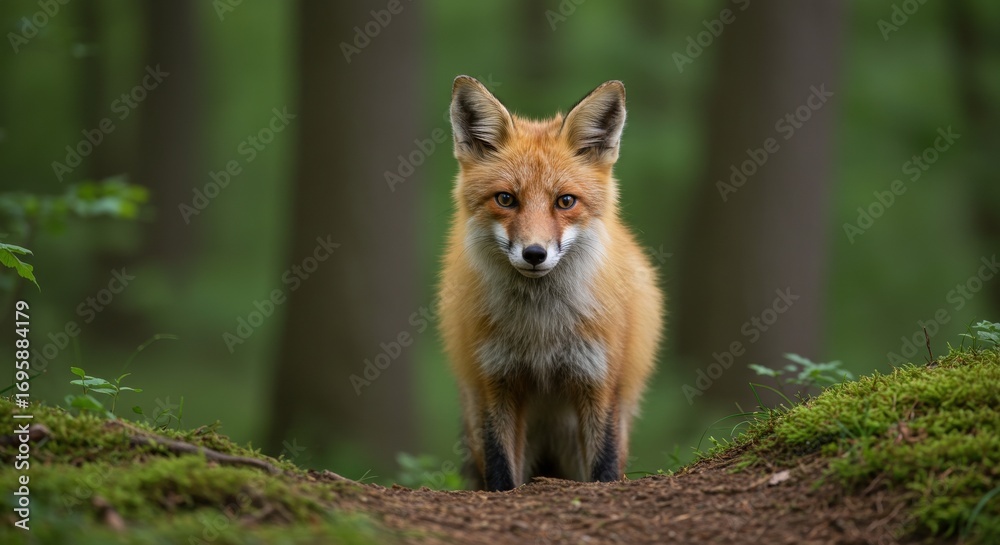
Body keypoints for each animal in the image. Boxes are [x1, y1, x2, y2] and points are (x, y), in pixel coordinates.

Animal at [439, 76, 663, 491]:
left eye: (565, 201)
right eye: (506, 199)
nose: (534, 254)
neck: (541, 331)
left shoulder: (599, 380)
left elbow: (605, 465)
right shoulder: (495, 380)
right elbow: (500, 467)